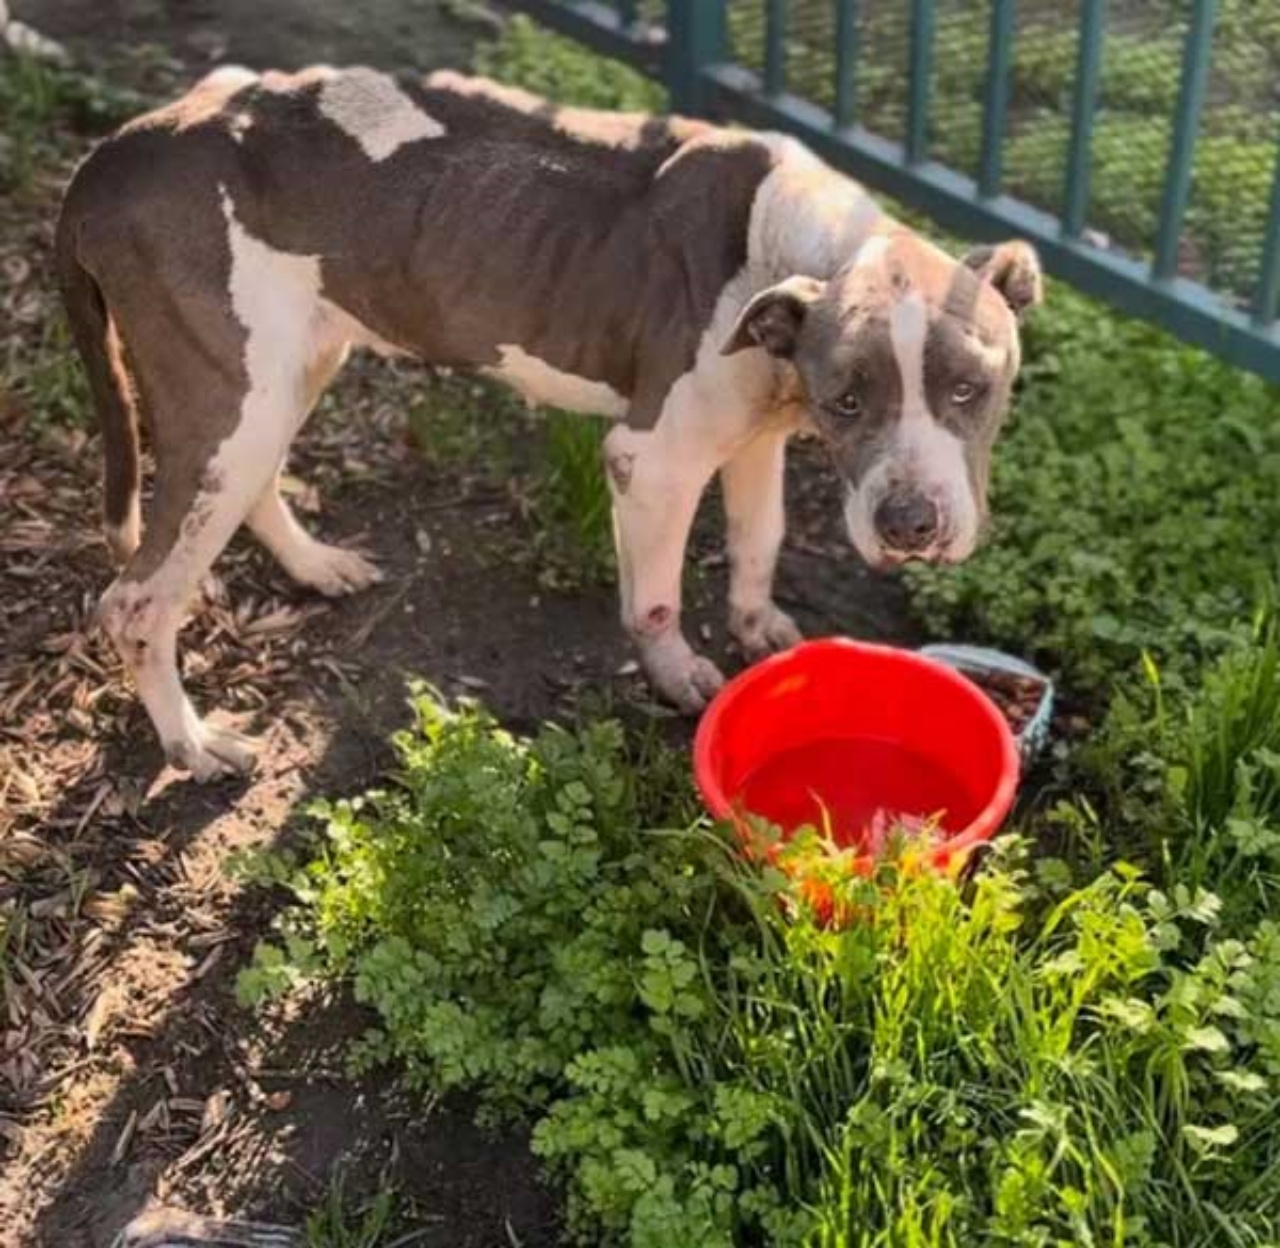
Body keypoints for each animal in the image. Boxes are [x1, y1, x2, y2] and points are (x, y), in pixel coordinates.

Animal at [55, 68, 1044, 778]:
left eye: (972, 389)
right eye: (849, 399)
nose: (911, 525)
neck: (804, 251)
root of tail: (117, 151)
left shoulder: (755, 438)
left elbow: (759, 540)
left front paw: (759, 626)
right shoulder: (653, 459)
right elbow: (655, 596)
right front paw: (678, 677)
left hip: (281, 376)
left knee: (249, 484)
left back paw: (313, 566)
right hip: (228, 394)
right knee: (135, 601)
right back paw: (192, 745)